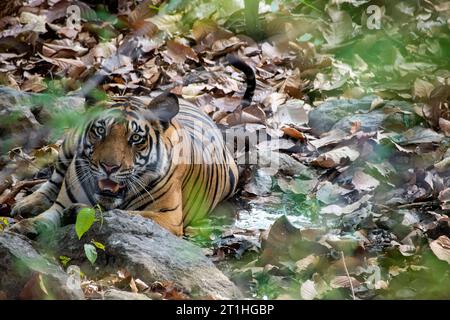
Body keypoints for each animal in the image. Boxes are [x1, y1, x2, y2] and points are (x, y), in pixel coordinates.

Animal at [10, 55, 255, 236]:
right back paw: (25, 204)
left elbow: (124, 215)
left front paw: (78, 212)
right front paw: (27, 226)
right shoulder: (61, 203)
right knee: (52, 180)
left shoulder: (168, 218)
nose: (109, 167)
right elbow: (49, 214)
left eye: (136, 138)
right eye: (101, 131)